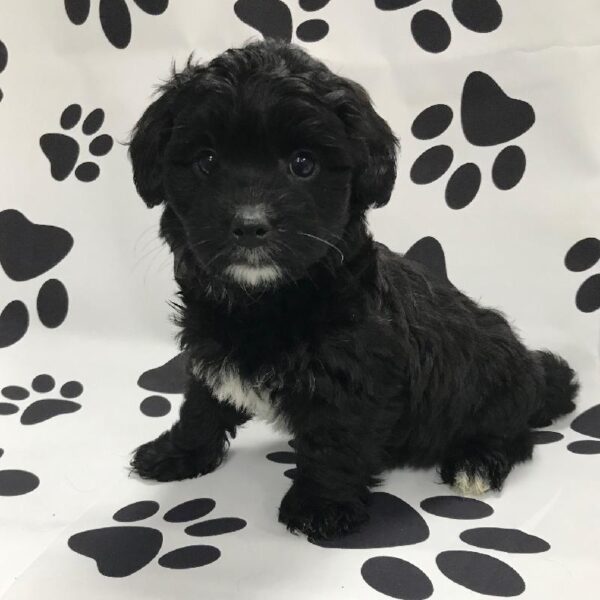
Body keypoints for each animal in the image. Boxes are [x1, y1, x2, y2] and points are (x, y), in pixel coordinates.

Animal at [129, 39, 580, 540]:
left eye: (303, 163)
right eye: (207, 161)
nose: (249, 225)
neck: (265, 301)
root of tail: (535, 374)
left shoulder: (356, 376)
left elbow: (335, 440)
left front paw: (320, 506)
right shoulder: (210, 350)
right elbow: (202, 406)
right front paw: (177, 453)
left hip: (494, 391)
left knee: (515, 436)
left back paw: (476, 462)